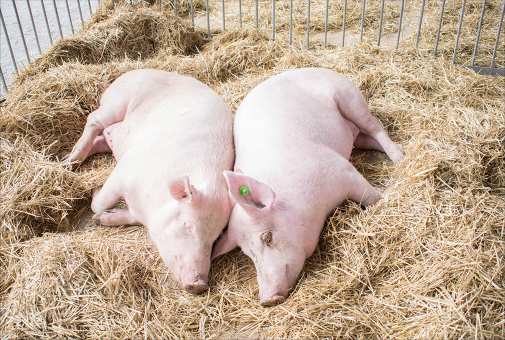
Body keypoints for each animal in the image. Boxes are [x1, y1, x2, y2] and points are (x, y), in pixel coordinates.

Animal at [63, 69, 234, 294]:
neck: (148, 207)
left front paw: (102, 218)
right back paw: (70, 160)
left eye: (215, 239)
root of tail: (136, 71)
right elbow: (100, 202)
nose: (199, 285)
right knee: (94, 120)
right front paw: (95, 193)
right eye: (188, 225)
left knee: (101, 139)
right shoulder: (126, 170)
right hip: (117, 101)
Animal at [211, 67, 404, 306]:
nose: (268, 299)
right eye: (248, 254)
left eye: (268, 237)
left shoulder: (341, 170)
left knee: (375, 126)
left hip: (350, 97)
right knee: (366, 138)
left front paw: (385, 199)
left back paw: (400, 157)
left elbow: (370, 197)